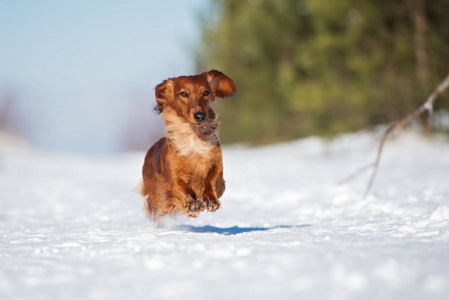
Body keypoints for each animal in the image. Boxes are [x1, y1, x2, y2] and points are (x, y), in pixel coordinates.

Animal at [141, 69, 236, 220]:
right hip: (157, 201)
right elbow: (181, 186)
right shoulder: (173, 176)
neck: (194, 137)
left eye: (206, 92)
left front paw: (209, 200)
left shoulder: (218, 168)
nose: (200, 116)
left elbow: (210, 179)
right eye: (183, 93)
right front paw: (192, 204)